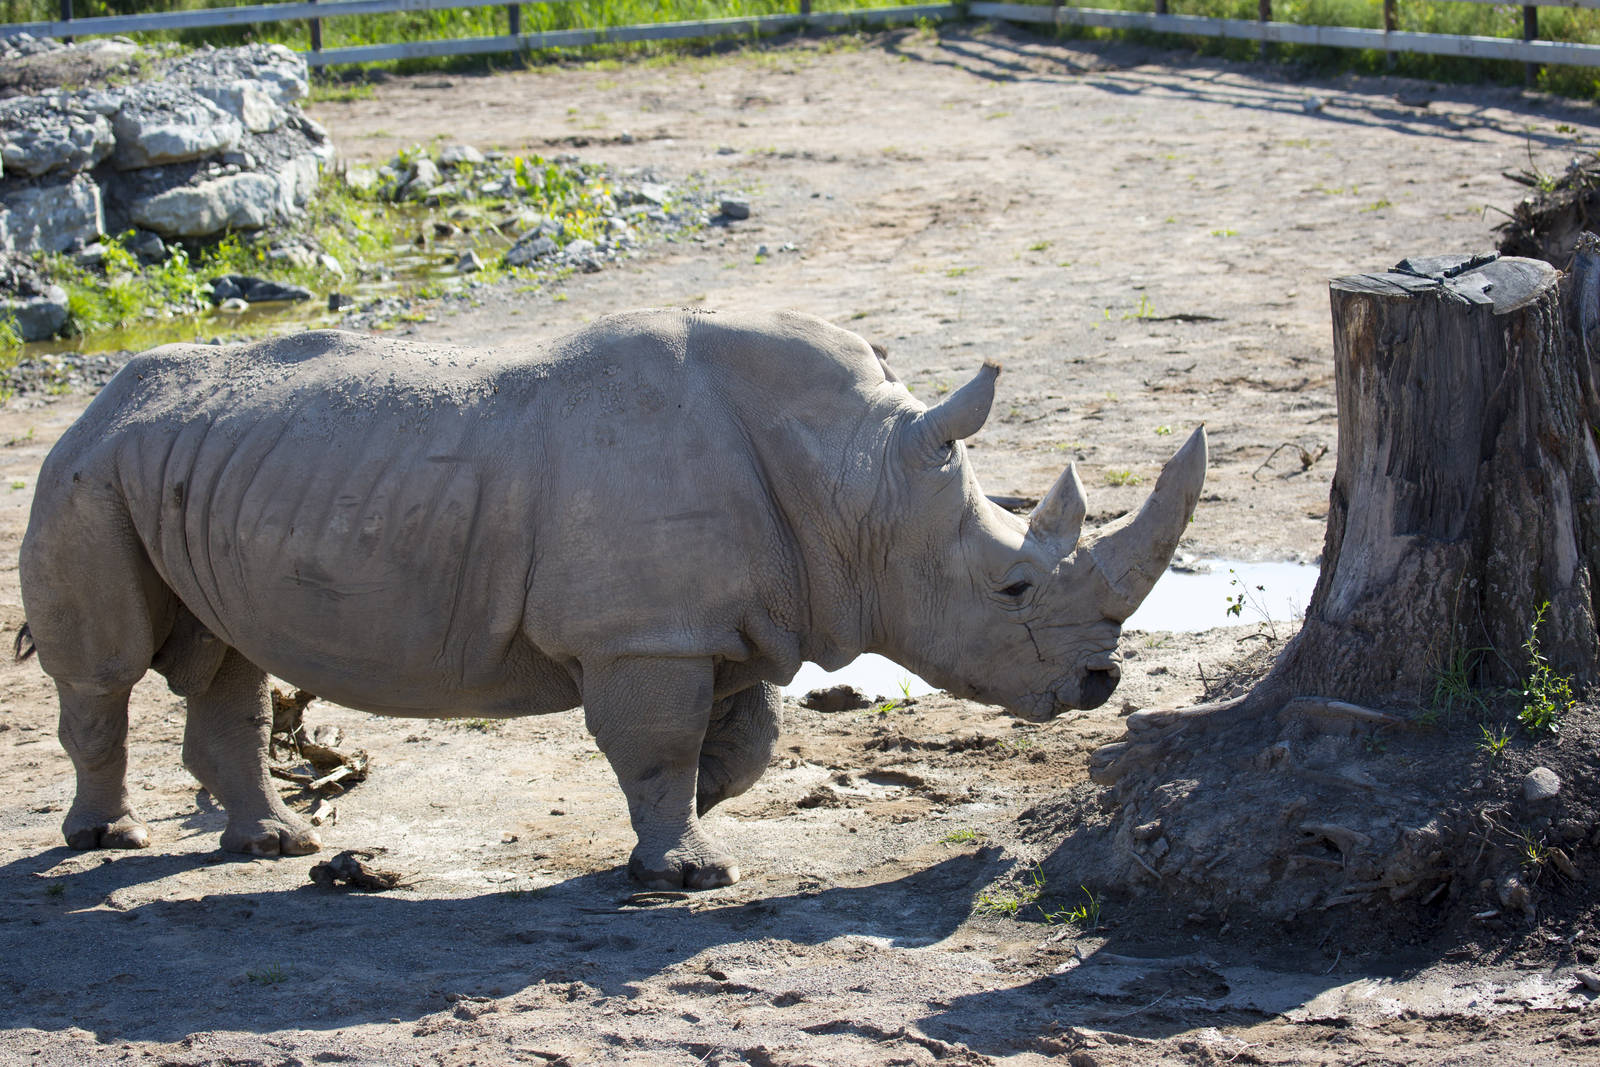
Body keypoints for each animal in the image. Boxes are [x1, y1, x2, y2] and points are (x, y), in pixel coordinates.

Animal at [17, 309, 1205, 889]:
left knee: (225, 657)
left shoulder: (717, 619)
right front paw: (686, 869)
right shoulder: (648, 635)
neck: (858, 478)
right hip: (84, 473)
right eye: (1012, 587)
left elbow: (739, 743)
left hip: (186, 466)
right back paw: (108, 839)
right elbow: (662, 743)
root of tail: (99, 397)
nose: (1101, 681)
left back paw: (272, 846)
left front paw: (686, 827)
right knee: (107, 670)